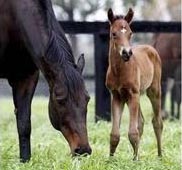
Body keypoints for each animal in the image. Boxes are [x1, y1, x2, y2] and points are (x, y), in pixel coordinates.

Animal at [0, 0, 91, 162]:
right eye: (60, 101)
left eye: (87, 99)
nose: (83, 150)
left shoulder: (26, 78)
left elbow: (24, 124)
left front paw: (25, 161)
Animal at [105, 7, 164, 159]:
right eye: (114, 34)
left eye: (130, 33)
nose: (127, 53)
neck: (119, 71)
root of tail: (151, 48)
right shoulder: (117, 96)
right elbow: (114, 134)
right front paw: (111, 160)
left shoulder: (132, 94)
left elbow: (132, 132)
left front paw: (136, 161)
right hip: (134, 96)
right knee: (141, 122)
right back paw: (136, 155)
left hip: (153, 91)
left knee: (157, 122)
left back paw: (160, 156)